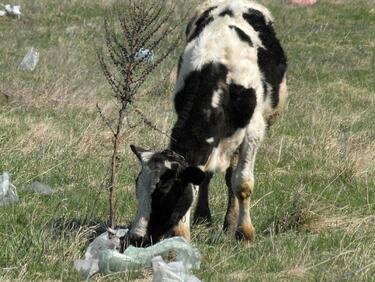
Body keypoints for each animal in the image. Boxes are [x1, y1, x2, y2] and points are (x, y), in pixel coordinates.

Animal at [126, 0, 288, 246]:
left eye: (164, 192)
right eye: (137, 188)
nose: (137, 237)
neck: (217, 69)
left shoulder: (254, 130)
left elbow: (242, 183)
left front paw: (245, 233)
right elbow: (199, 180)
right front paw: (183, 232)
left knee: (231, 176)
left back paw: (230, 223)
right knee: (210, 175)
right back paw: (207, 217)